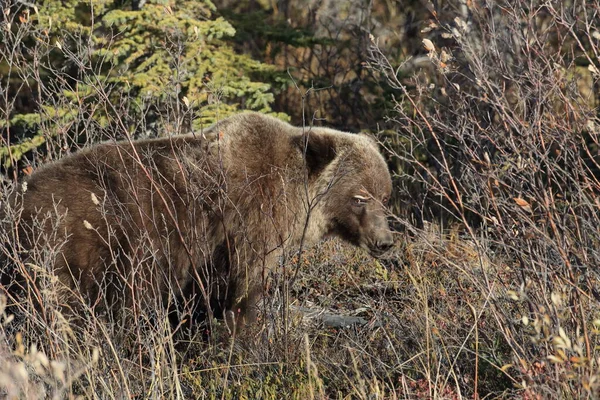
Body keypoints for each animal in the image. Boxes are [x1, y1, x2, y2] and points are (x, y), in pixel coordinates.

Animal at [2, 111, 396, 328]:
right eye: (360, 197)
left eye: (385, 196)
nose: (385, 241)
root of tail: (14, 202)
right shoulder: (248, 221)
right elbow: (241, 289)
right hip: (82, 245)